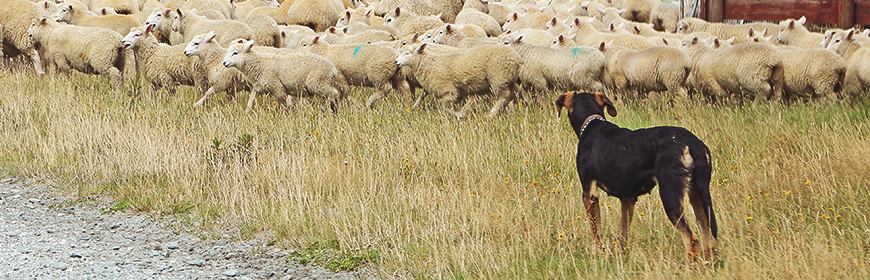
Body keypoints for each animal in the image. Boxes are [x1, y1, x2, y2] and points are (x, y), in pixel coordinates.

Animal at [396, 42, 524, 118]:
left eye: (407, 53)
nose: (397, 62)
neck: (430, 64)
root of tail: (516, 58)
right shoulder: (457, 94)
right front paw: (461, 112)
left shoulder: (448, 91)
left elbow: (446, 108)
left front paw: (461, 114)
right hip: (508, 80)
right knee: (512, 94)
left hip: (499, 78)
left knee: (503, 97)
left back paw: (491, 114)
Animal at [560, 91, 724, 262]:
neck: (592, 123)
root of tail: (692, 142)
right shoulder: (627, 198)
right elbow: (623, 232)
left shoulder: (589, 193)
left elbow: (596, 231)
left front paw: (600, 254)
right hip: (698, 193)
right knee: (706, 235)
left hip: (670, 195)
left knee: (691, 238)